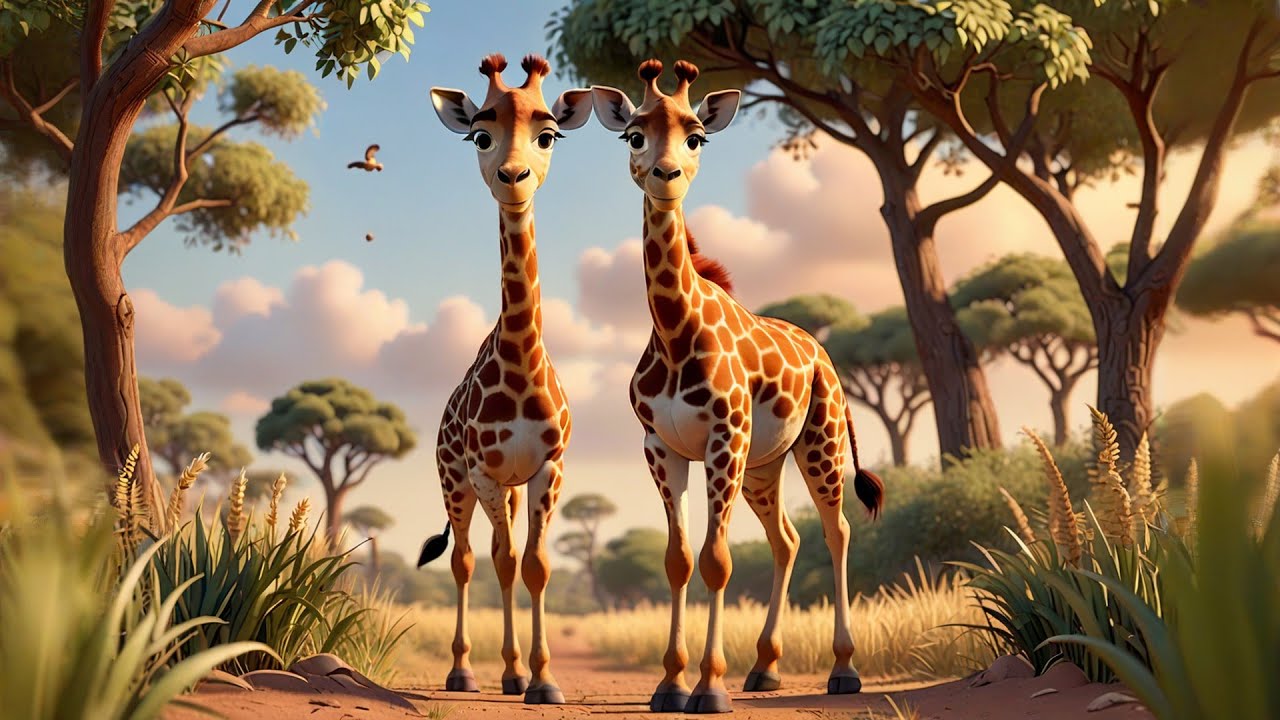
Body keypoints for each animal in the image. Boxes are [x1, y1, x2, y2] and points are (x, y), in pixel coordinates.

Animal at [423, 53, 593, 705]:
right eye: (480, 134)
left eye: (549, 135)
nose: (513, 177)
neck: (521, 364)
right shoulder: (485, 473)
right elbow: (497, 560)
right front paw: (508, 672)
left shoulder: (547, 469)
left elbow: (535, 564)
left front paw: (541, 680)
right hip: (454, 481)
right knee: (469, 558)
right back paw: (465, 670)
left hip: (513, 489)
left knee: (504, 555)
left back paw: (511, 671)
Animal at [589, 60, 885, 714]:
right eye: (634, 135)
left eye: (697, 136)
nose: (666, 175)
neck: (675, 333)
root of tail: (825, 356)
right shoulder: (661, 447)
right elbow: (677, 560)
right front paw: (670, 684)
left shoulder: (724, 440)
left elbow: (716, 560)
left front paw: (709, 687)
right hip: (763, 465)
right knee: (786, 540)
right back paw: (765, 669)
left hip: (818, 444)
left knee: (837, 531)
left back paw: (843, 670)